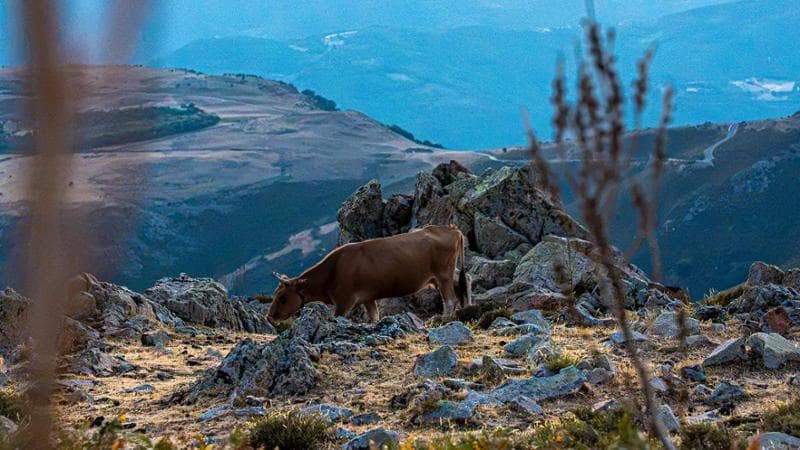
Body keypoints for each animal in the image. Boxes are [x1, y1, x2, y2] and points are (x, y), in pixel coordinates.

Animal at [267, 224, 470, 323]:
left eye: (283, 298)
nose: (270, 316)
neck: (332, 271)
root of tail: (451, 228)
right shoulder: (367, 299)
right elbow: (374, 317)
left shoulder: (344, 301)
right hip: (442, 274)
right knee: (465, 278)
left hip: (443, 273)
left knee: (450, 299)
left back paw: (444, 318)